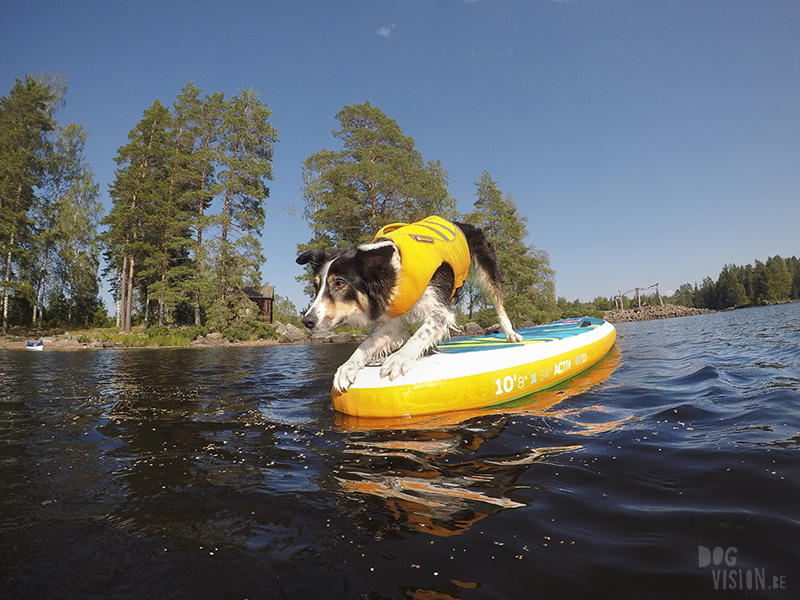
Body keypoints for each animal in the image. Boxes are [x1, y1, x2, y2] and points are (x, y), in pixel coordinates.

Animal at [296, 217, 520, 394]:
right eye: (316, 286)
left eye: (339, 284)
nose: (307, 321)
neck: (391, 272)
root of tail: (462, 223)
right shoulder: (390, 320)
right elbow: (365, 344)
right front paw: (347, 368)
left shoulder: (440, 311)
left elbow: (420, 334)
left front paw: (399, 358)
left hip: (487, 271)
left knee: (499, 304)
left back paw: (511, 334)